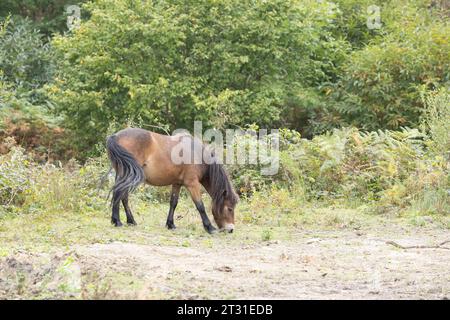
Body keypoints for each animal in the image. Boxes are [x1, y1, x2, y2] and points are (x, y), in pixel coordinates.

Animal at [106, 126, 239, 234]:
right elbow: (200, 205)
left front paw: (170, 224)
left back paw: (130, 221)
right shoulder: (192, 184)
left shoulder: (177, 183)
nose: (231, 229)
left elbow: (173, 203)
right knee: (119, 193)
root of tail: (115, 136)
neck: (196, 153)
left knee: (123, 196)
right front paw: (210, 228)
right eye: (230, 208)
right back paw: (117, 221)